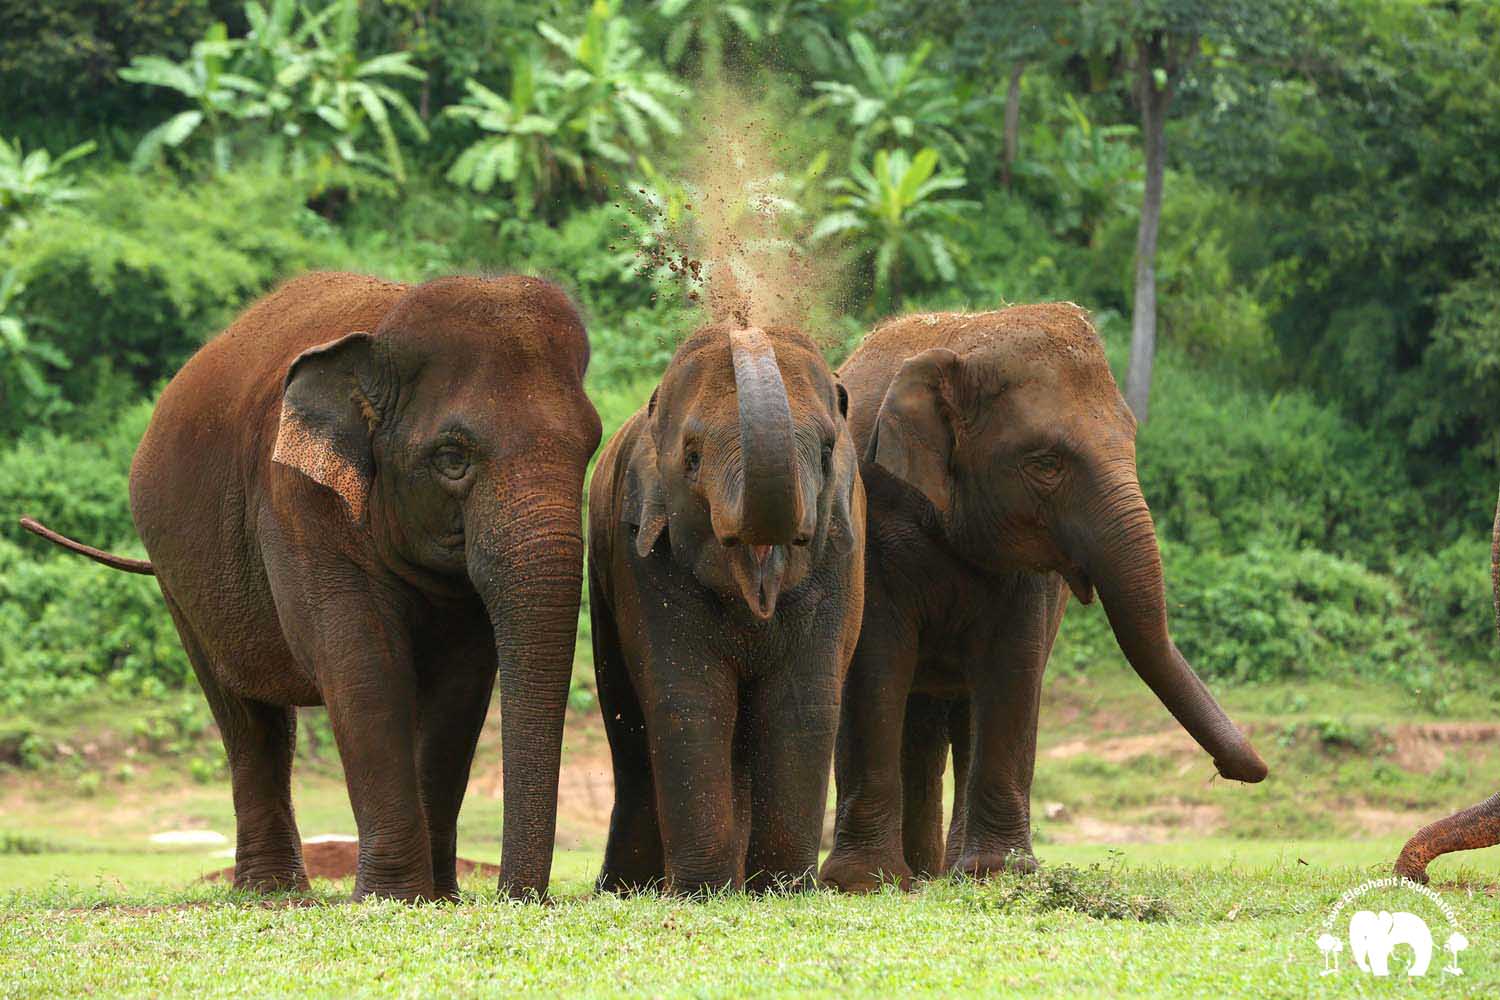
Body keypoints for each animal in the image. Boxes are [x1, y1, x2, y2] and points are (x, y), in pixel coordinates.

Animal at [21, 271, 601, 901]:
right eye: (452, 457)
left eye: (591, 448)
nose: (517, 897)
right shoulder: (297, 500)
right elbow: (363, 665)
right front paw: (395, 899)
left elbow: (460, 682)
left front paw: (437, 899)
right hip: (177, 576)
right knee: (244, 713)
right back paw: (269, 892)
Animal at [587, 321, 864, 895]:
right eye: (692, 459)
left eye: (828, 452)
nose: (744, 325)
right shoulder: (644, 555)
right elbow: (687, 696)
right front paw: (702, 893)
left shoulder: (841, 557)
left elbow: (802, 699)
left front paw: (781, 892)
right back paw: (628, 889)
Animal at [818, 304, 1268, 892]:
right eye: (1046, 464)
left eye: (1132, 439)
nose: (1244, 770)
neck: (962, 343)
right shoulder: (871, 523)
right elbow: (873, 662)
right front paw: (862, 884)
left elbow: (1013, 665)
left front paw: (1000, 875)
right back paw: (919, 875)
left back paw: (947, 875)